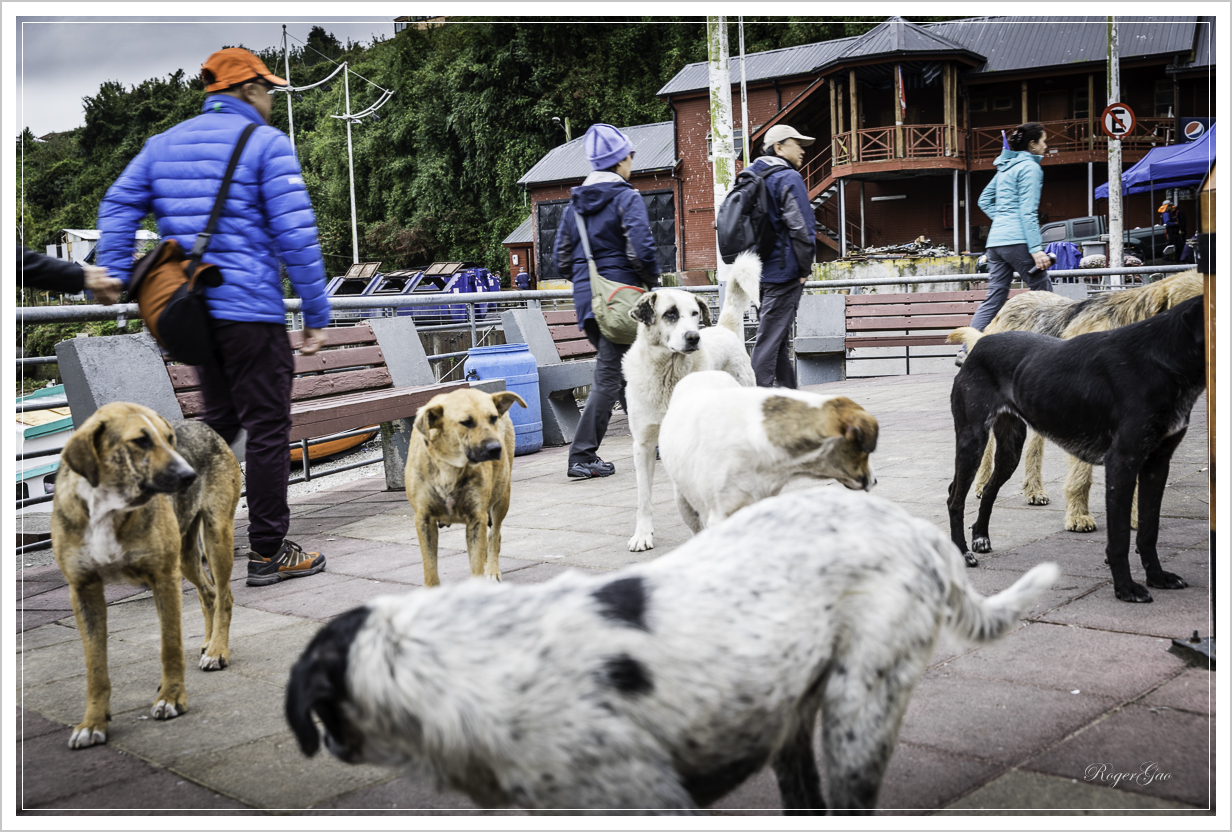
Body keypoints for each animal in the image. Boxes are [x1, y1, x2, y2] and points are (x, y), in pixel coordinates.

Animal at [401, 389, 522, 586]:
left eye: (493, 418)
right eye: (466, 422)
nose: (495, 448)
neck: (449, 468)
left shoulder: (476, 518)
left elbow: (477, 561)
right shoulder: (423, 519)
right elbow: (430, 569)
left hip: (502, 496)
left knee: (494, 535)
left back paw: (492, 569)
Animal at [625, 250, 758, 557]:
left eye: (695, 314)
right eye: (670, 314)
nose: (694, 337)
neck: (667, 375)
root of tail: (722, 329)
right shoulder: (643, 445)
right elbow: (643, 496)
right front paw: (642, 535)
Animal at [946, 295, 1207, 601]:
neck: (1160, 358)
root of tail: (981, 344)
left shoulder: (1156, 464)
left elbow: (1148, 529)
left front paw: (1156, 577)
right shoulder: (1122, 462)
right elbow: (1120, 536)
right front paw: (1125, 588)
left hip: (1010, 448)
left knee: (988, 490)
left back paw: (980, 537)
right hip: (972, 441)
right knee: (955, 498)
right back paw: (962, 552)